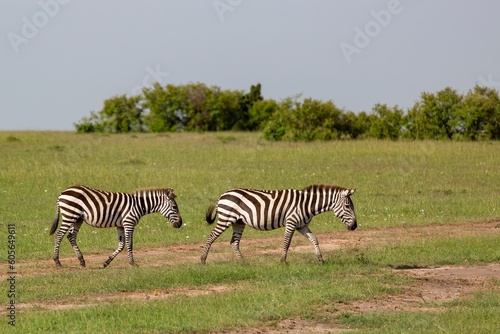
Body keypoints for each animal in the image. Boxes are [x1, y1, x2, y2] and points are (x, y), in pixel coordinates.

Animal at [48, 185, 182, 268]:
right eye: (174, 207)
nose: (180, 224)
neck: (139, 205)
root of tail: (62, 193)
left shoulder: (120, 226)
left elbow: (121, 245)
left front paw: (106, 263)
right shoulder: (129, 223)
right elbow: (129, 244)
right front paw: (133, 263)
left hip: (77, 218)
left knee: (71, 236)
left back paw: (81, 260)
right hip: (70, 215)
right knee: (59, 235)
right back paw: (57, 262)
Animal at [201, 184, 358, 264]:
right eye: (348, 206)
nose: (355, 226)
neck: (307, 204)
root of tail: (223, 195)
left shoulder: (302, 225)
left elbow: (315, 239)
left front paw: (320, 259)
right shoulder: (291, 222)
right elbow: (287, 242)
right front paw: (283, 261)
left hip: (238, 222)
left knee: (234, 242)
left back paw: (243, 263)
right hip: (226, 218)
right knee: (210, 237)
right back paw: (203, 260)